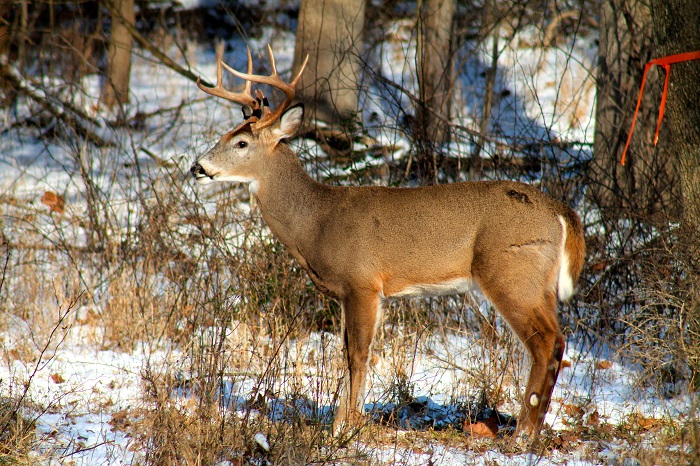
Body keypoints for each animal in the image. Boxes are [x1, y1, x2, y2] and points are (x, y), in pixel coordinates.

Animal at [191, 43, 584, 440]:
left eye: (241, 142)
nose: (197, 167)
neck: (316, 221)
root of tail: (560, 211)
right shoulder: (362, 293)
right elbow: (349, 352)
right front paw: (343, 421)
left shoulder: (361, 281)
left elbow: (357, 354)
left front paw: (344, 428)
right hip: (539, 283)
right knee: (558, 341)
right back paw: (534, 428)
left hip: (509, 271)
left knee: (545, 342)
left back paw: (523, 432)